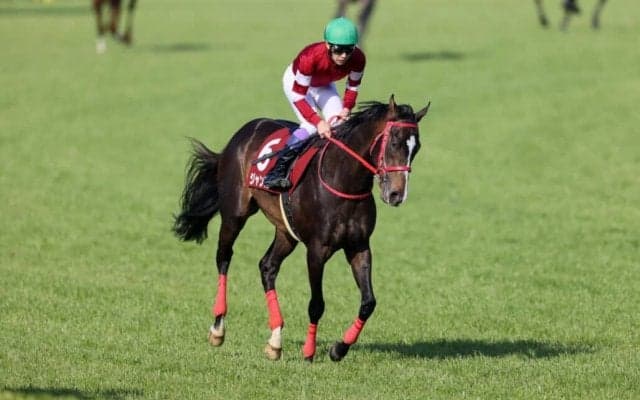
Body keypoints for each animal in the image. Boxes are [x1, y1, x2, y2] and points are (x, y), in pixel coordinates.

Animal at [172, 95, 430, 362]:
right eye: (394, 142)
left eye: (416, 147)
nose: (396, 194)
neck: (344, 180)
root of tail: (243, 133)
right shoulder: (316, 250)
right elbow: (317, 304)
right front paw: (309, 351)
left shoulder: (359, 246)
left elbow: (368, 302)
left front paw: (339, 349)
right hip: (235, 214)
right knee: (224, 258)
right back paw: (218, 328)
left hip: (286, 232)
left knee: (267, 266)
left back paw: (275, 340)